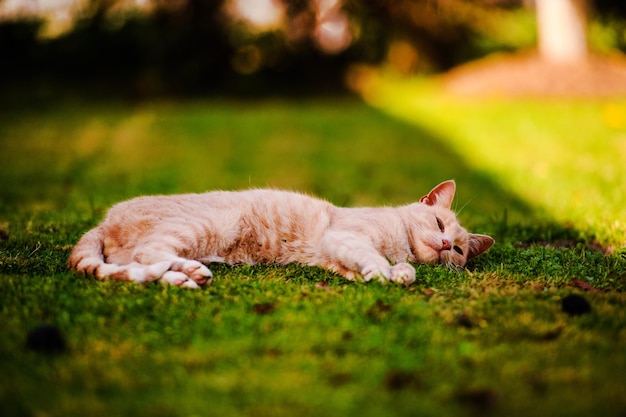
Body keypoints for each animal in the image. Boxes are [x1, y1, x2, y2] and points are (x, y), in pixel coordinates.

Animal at [68, 180, 492, 288]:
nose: (444, 244)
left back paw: (184, 277)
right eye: (439, 226)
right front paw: (390, 271)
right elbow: (373, 257)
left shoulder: (335, 256)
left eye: (457, 250)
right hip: (208, 226)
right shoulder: (345, 237)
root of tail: (104, 220)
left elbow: (368, 269)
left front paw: (394, 273)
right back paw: (193, 273)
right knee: (148, 255)